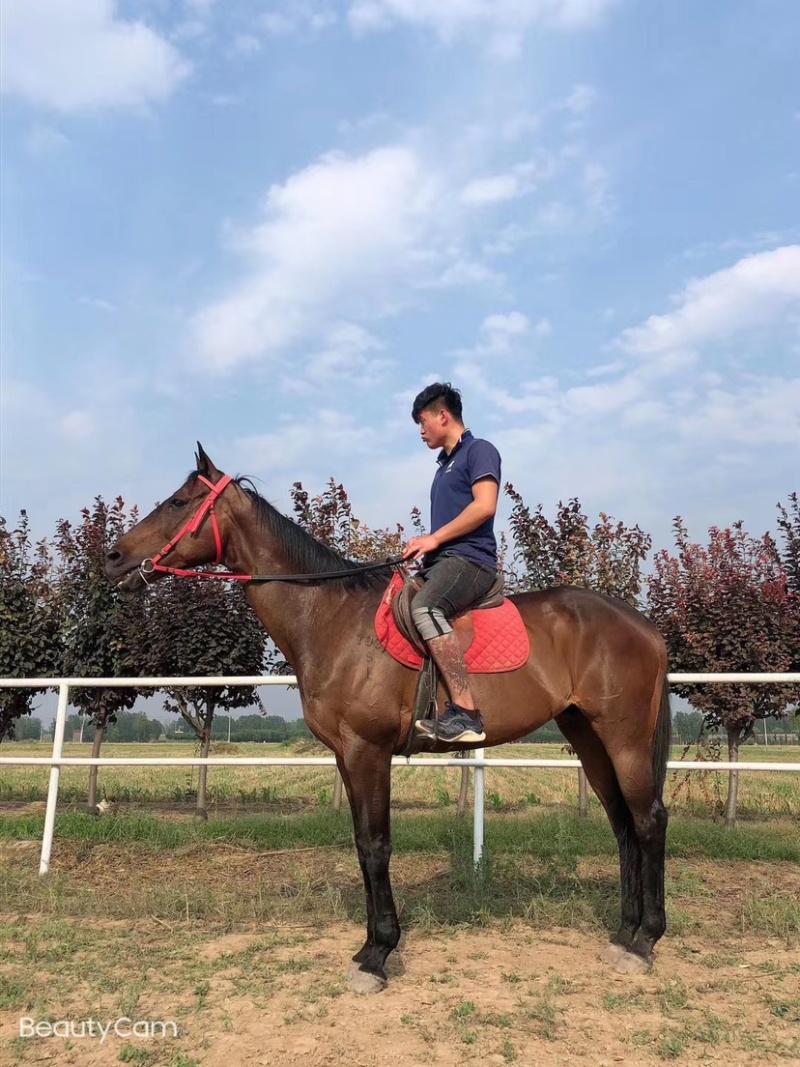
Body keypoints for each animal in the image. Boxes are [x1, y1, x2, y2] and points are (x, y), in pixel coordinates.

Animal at [106, 444, 670, 993]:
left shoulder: (368, 750)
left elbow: (377, 846)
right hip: (588, 737)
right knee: (622, 823)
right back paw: (623, 933)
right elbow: (361, 844)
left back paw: (645, 941)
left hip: (623, 740)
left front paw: (378, 955)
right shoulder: (345, 755)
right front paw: (368, 947)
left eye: (178, 502)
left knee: (648, 820)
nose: (113, 557)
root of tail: (643, 626)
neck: (331, 617)